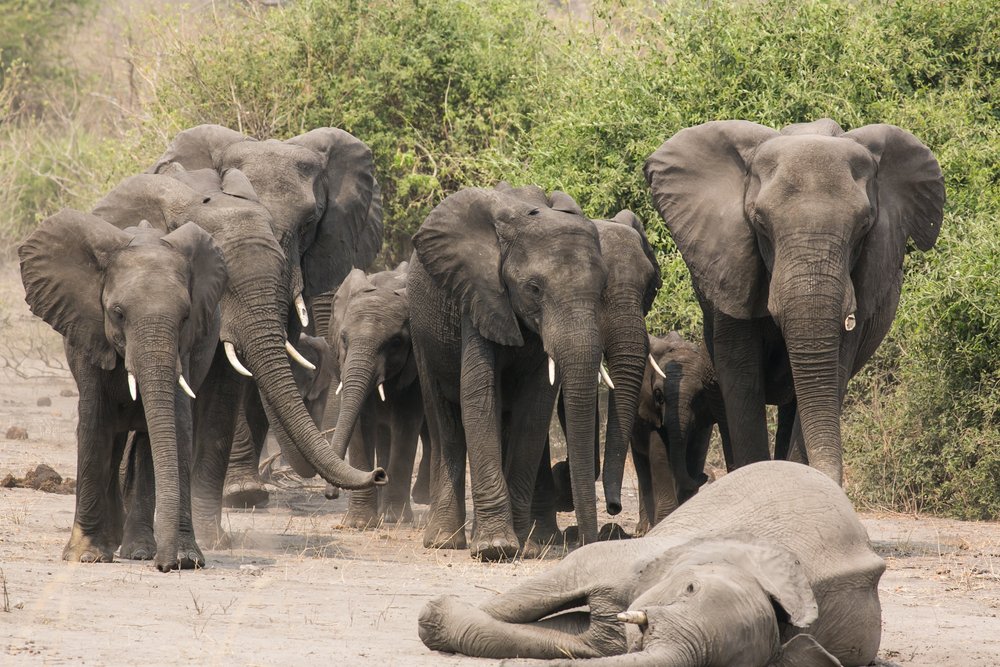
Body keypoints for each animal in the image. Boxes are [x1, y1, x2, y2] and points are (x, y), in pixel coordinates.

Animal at [19, 211, 226, 571]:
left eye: (185, 316)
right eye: (117, 313)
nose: (164, 565)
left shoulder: (184, 349)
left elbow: (177, 426)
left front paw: (186, 559)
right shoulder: (87, 330)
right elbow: (94, 421)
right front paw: (86, 556)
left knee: (143, 441)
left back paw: (137, 549)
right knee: (113, 436)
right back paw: (114, 542)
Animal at [323, 262, 427, 527]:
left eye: (396, 342)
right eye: (343, 338)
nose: (330, 494)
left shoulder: (416, 365)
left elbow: (406, 421)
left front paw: (396, 520)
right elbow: (362, 421)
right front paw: (359, 524)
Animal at [408, 184, 654, 560]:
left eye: (600, 290)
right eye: (534, 289)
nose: (612, 511)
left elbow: (535, 409)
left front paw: (523, 545)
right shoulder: (479, 295)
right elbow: (479, 396)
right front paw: (495, 548)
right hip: (421, 330)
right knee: (445, 421)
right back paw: (445, 541)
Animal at [418, 460, 886, 666]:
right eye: (690, 589)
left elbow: (568, 641)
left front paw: (437, 619)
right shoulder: (638, 558)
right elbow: (548, 590)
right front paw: (433, 616)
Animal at [645, 119, 945, 484]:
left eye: (863, 227)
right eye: (760, 222)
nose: (704, 478)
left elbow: (832, 374)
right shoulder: (731, 265)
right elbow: (742, 378)